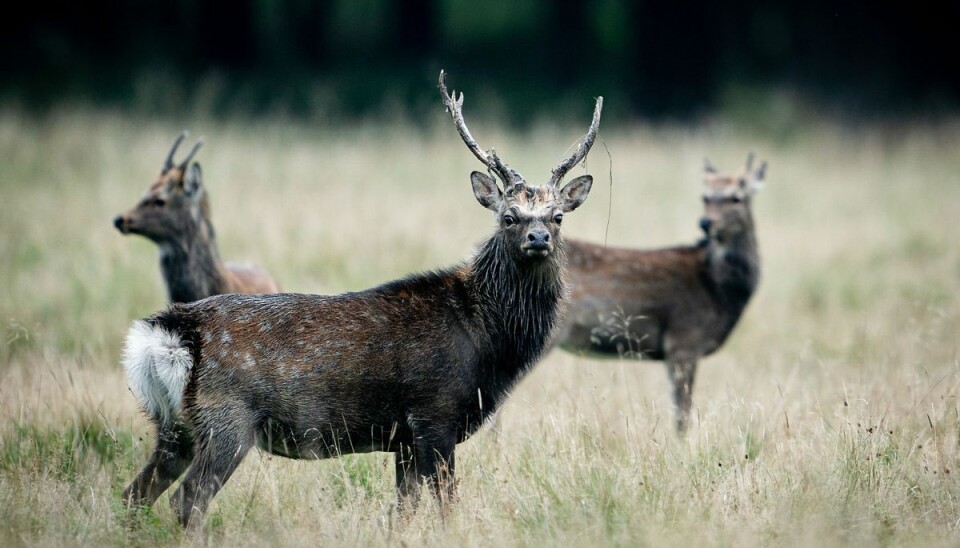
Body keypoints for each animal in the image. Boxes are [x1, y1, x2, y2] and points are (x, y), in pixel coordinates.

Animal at [556, 154, 764, 432]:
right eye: (705, 197)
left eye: (736, 198)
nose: (706, 223)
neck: (718, 292)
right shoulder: (684, 339)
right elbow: (682, 415)